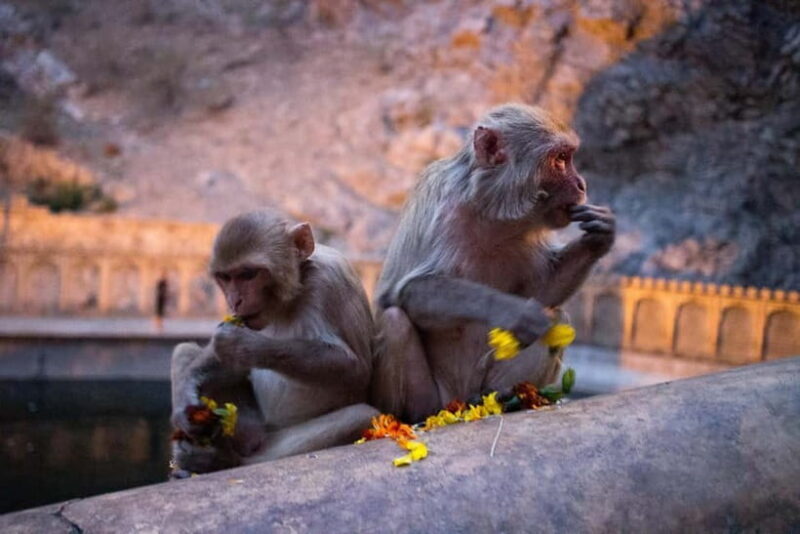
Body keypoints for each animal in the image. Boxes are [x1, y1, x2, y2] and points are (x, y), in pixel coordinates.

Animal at [170, 210, 378, 476]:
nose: (235, 300)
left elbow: (355, 370)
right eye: (225, 277)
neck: (296, 288)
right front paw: (185, 398)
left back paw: (220, 459)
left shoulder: (330, 284)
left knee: (360, 415)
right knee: (184, 350)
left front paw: (242, 345)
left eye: (249, 274)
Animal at [371, 104, 615, 423]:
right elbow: (409, 290)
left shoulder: (527, 234)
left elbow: (543, 291)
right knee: (395, 320)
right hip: (435, 397)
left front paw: (600, 235)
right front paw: (515, 312)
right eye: (561, 160)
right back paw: (418, 414)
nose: (582, 184)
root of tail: (459, 404)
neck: (491, 211)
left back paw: (509, 396)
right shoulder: (444, 209)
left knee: (557, 319)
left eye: (569, 156)